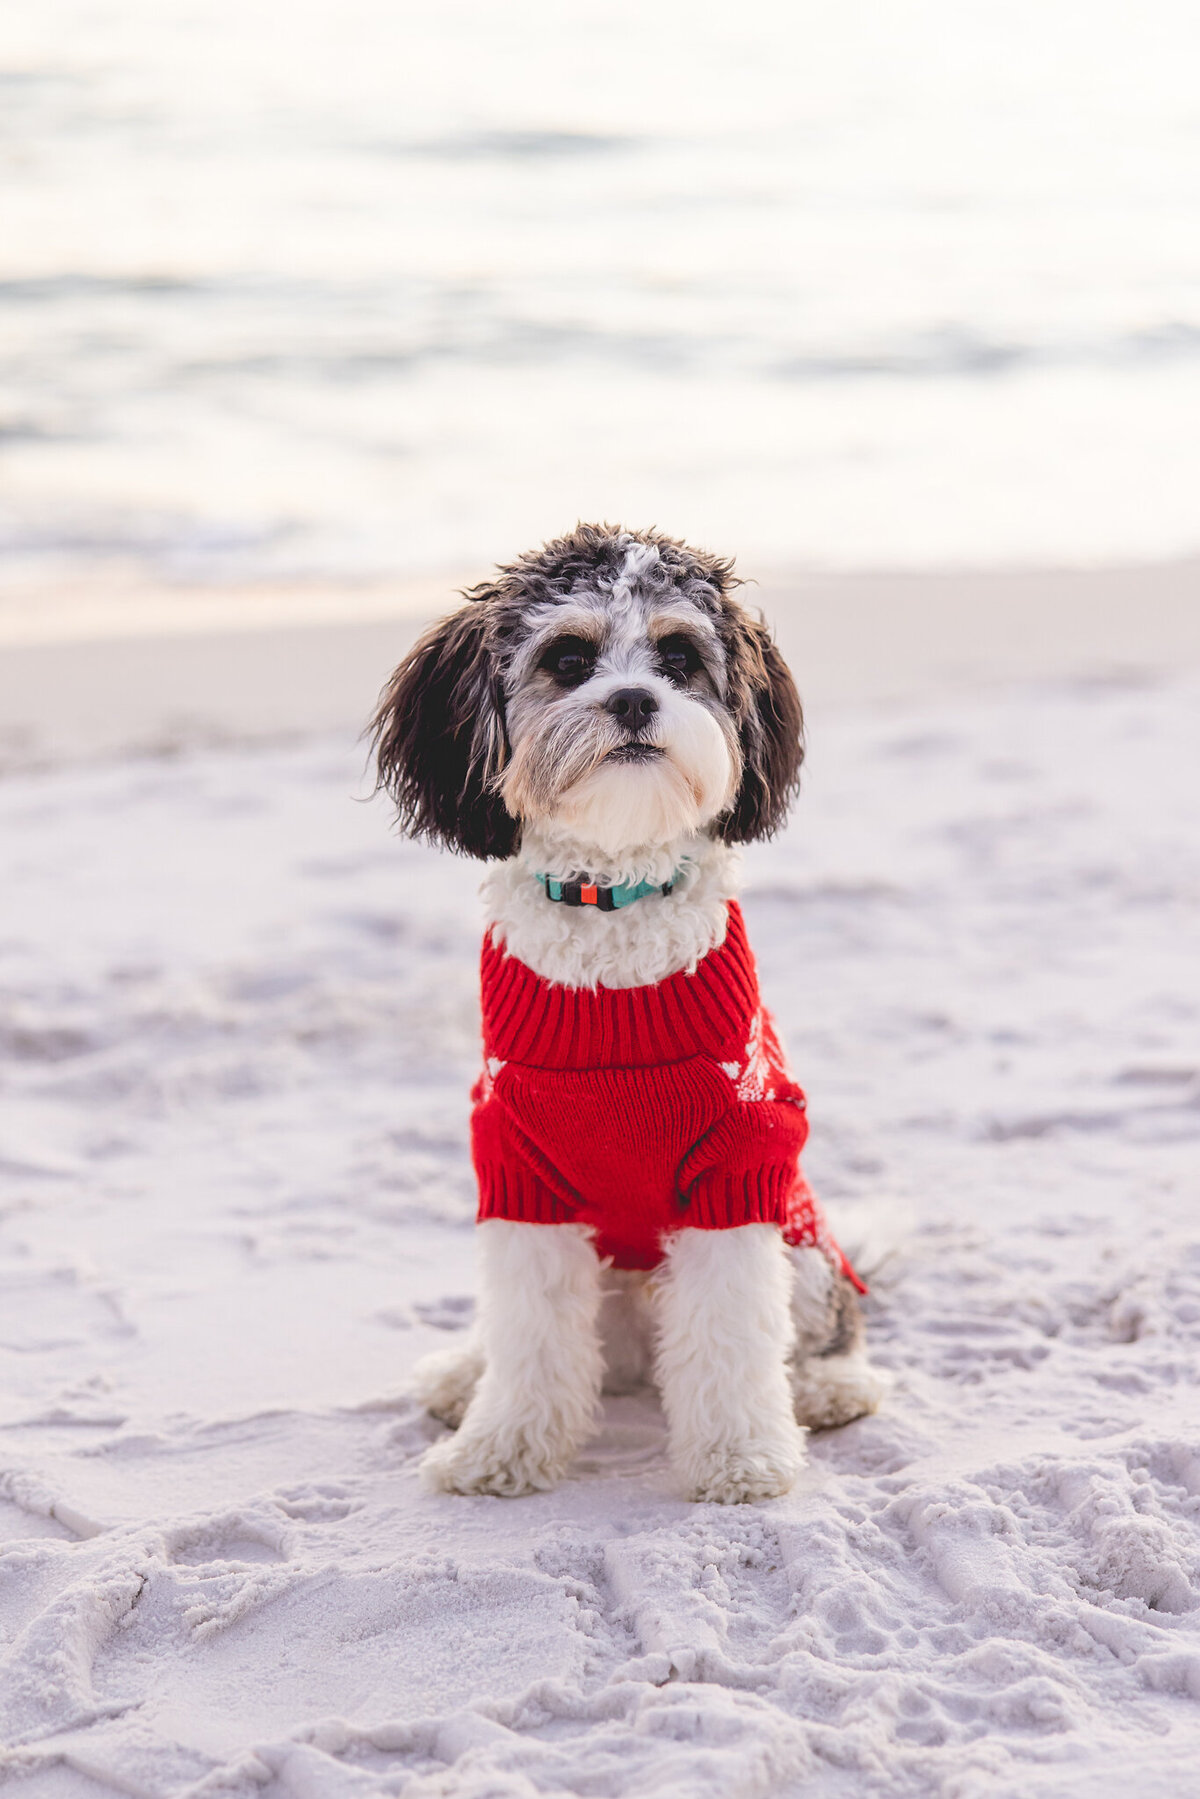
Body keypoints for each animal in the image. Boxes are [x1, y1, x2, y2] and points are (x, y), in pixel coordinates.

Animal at [370, 525, 888, 1503]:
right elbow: (530, 1335)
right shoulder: (518, 1170)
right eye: (569, 659)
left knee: (814, 1325)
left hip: (802, 1242)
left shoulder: (738, 1166)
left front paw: (741, 1457)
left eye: (679, 657)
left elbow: (732, 1332)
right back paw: (465, 1374)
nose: (636, 699)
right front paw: (502, 1448)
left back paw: (827, 1386)